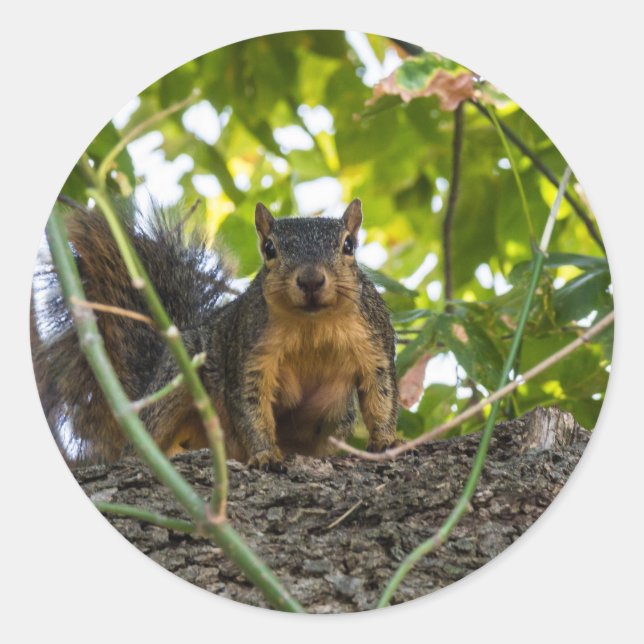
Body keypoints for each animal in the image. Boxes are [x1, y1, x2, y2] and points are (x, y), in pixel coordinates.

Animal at [31, 198, 400, 471]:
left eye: (349, 245)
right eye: (269, 249)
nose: (310, 280)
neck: (312, 323)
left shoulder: (376, 341)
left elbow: (382, 392)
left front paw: (386, 440)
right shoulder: (250, 351)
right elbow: (249, 403)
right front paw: (264, 454)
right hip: (179, 379)